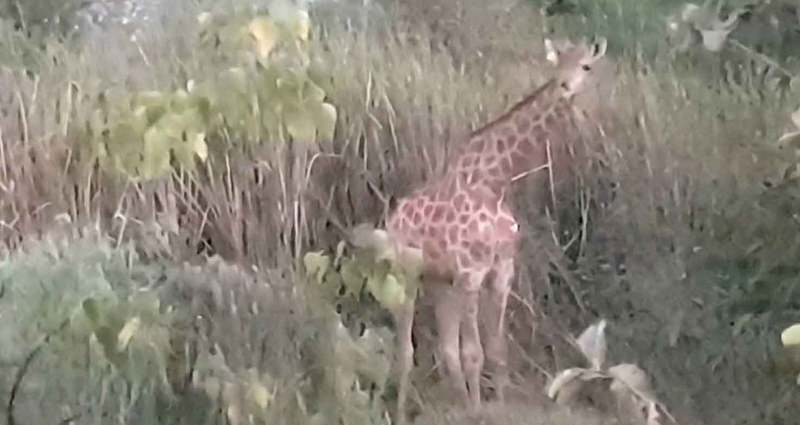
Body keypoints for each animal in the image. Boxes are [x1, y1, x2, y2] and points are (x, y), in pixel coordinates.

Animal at [353, 36, 611, 423]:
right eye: (557, 65)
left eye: (586, 66)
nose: (565, 87)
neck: (494, 179)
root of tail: (393, 218)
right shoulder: (471, 273)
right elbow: (473, 352)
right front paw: (477, 410)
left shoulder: (501, 271)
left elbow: (495, 350)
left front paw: (492, 405)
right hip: (407, 274)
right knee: (406, 351)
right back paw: (403, 413)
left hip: (440, 282)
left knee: (445, 349)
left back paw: (453, 403)